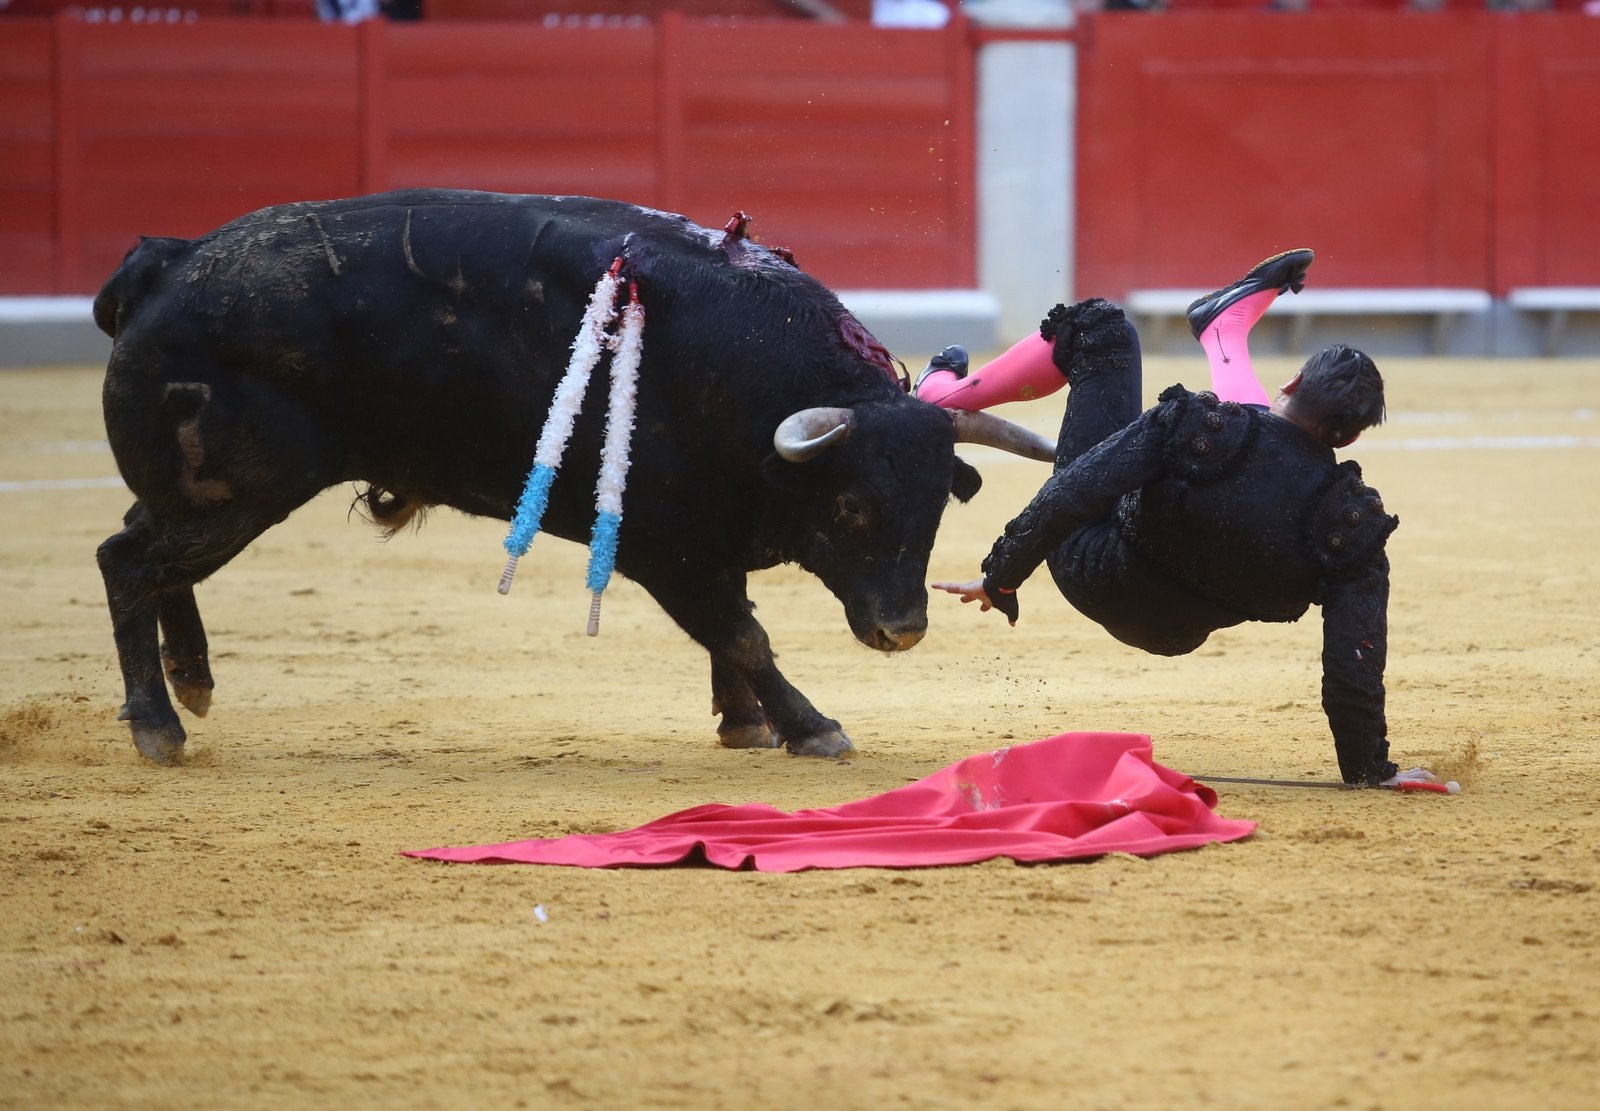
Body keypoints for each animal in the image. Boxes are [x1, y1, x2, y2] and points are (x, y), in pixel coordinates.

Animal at [93, 191, 1056, 765]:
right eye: (852, 505)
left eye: (935, 511)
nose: (902, 630)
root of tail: (168, 261)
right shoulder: (666, 549)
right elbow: (743, 632)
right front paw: (810, 726)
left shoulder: (713, 539)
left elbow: (733, 631)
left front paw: (743, 723)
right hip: (239, 490)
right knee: (126, 561)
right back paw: (158, 724)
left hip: (205, 492)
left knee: (151, 552)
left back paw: (193, 679)